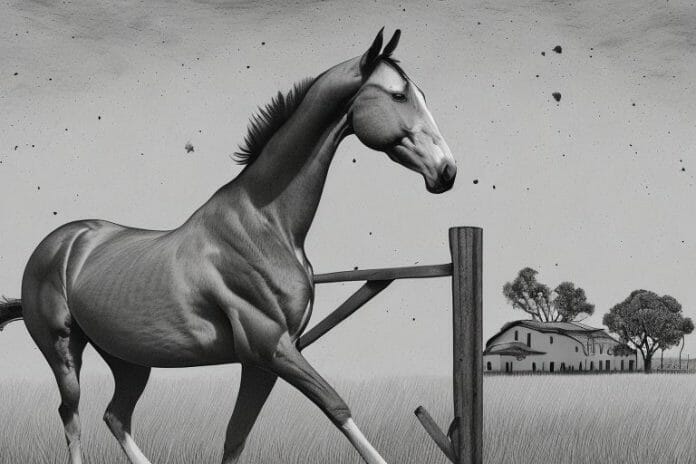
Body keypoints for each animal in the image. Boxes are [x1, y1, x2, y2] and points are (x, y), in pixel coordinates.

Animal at [0, 28, 456, 464]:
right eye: (398, 95)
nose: (447, 171)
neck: (265, 225)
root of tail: (62, 243)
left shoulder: (263, 362)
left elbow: (235, 439)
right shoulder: (271, 348)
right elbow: (337, 406)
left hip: (129, 359)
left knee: (116, 416)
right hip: (63, 349)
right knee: (71, 415)